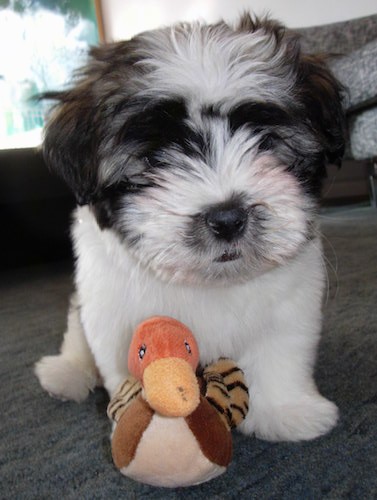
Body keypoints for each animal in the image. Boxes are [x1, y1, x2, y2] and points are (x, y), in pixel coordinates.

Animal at [35, 13, 344, 440]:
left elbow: (281, 352)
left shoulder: (292, 305)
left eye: (265, 141)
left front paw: (288, 411)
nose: (227, 217)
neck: (207, 282)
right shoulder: (111, 311)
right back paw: (66, 372)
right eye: (154, 158)